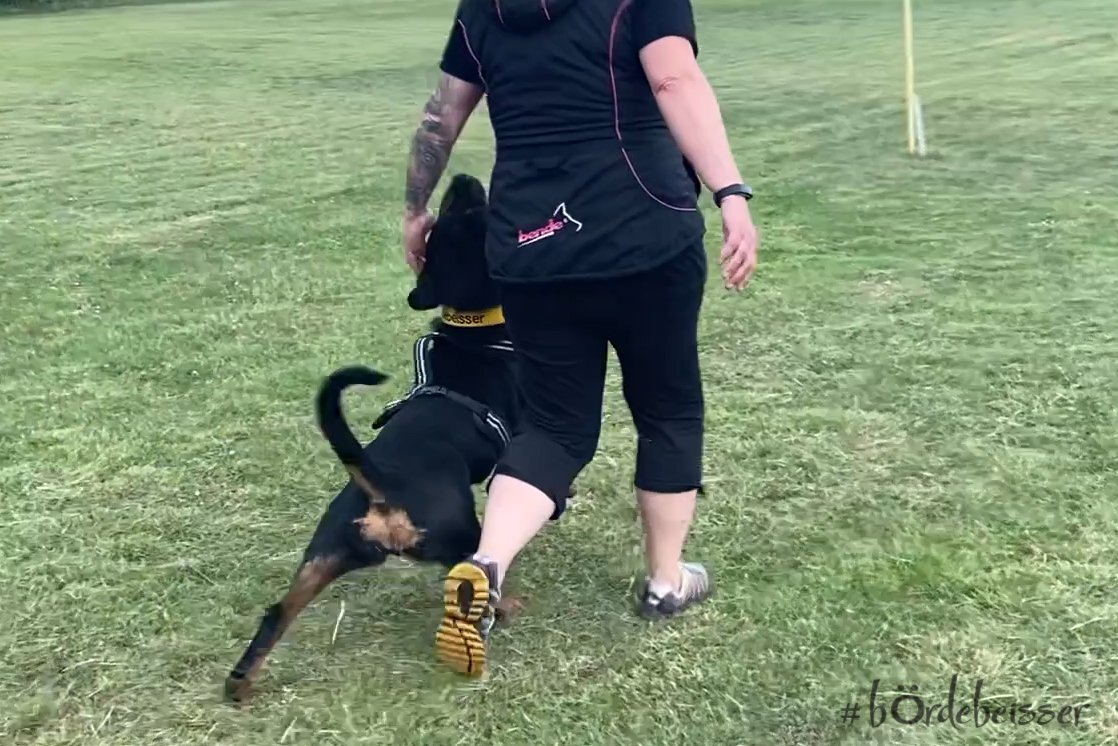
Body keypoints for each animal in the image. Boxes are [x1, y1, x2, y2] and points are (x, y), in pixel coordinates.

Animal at [224, 174, 524, 703]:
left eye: (444, 222)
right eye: (469, 215)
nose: (462, 178)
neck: (472, 329)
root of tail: (380, 486)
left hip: (323, 555)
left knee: (276, 613)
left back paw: (240, 683)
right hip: (460, 536)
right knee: (476, 575)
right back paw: (502, 608)